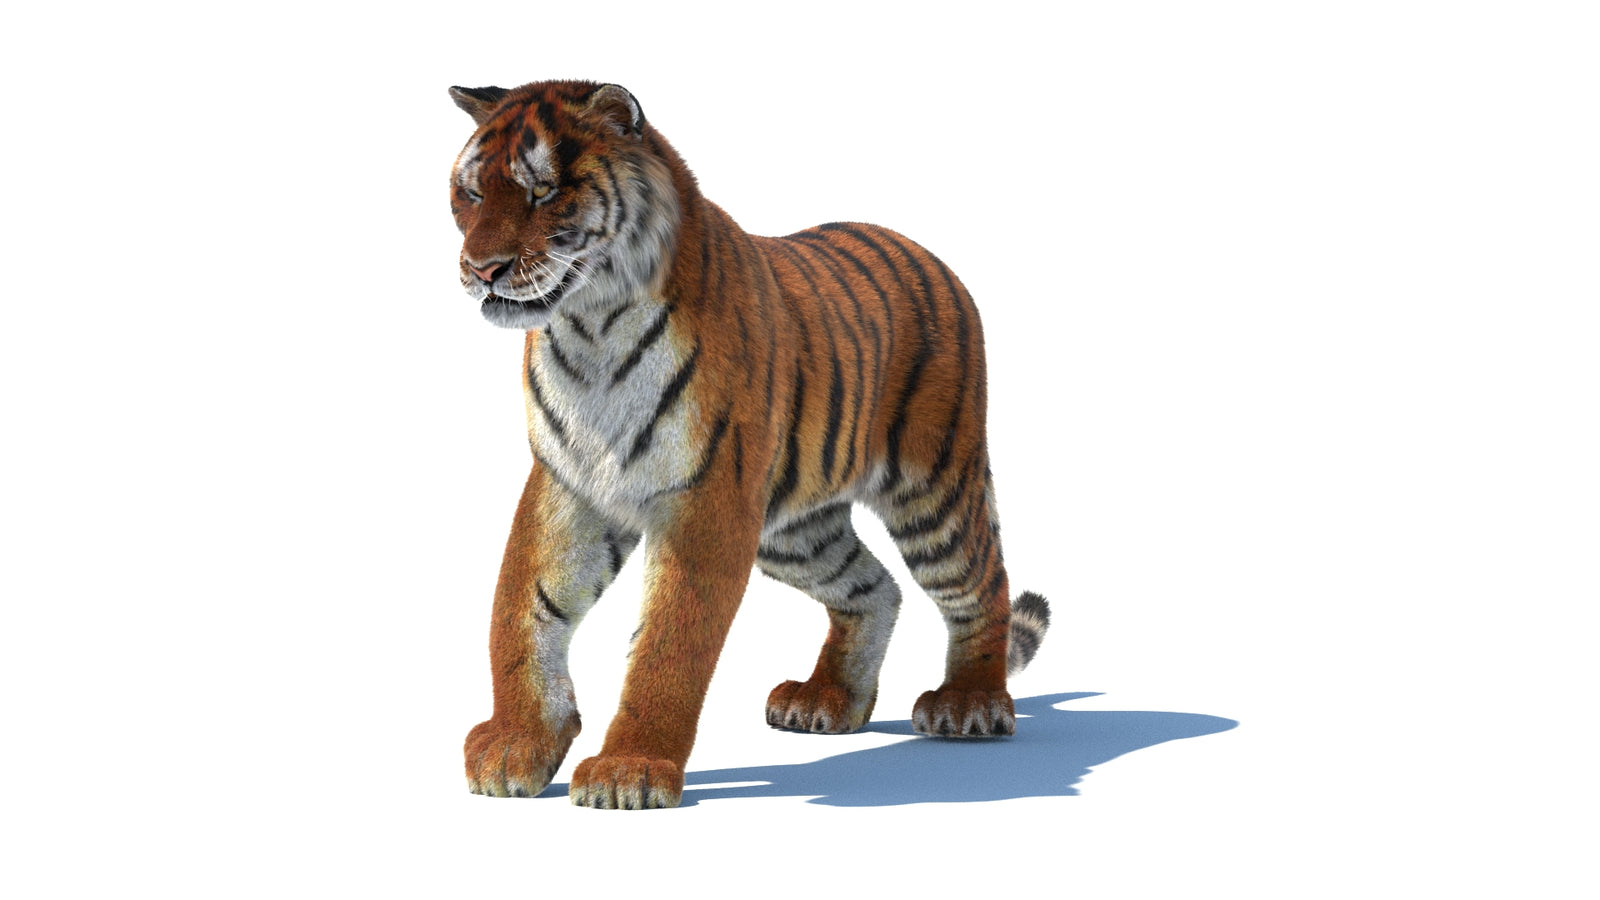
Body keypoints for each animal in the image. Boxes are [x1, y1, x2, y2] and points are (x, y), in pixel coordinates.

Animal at [448, 80, 1051, 809]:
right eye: (470, 194)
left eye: (543, 192)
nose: (482, 269)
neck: (591, 326)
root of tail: (932, 258)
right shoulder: (570, 482)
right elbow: (522, 608)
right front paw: (517, 745)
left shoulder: (708, 501)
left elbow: (670, 643)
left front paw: (628, 771)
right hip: (792, 529)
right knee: (876, 587)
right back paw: (828, 700)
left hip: (934, 492)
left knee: (982, 586)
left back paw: (969, 704)